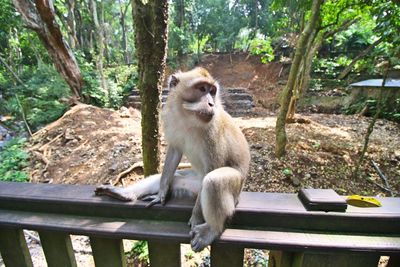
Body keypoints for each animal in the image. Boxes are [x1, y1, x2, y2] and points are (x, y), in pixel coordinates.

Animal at [94, 67, 250, 253]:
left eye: (212, 91)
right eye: (202, 89)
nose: (211, 104)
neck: (188, 118)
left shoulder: (212, 131)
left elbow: (213, 168)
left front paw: (196, 217)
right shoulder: (171, 120)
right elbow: (174, 151)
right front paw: (161, 194)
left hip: (235, 189)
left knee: (213, 181)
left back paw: (212, 229)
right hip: (192, 185)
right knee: (172, 177)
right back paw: (124, 194)